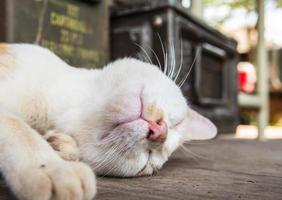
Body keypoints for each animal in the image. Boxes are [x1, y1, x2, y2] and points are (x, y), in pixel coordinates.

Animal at [0, 43, 217, 200]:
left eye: (148, 161)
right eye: (176, 122)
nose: (159, 131)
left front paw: (59, 149)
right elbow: (15, 124)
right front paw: (53, 168)